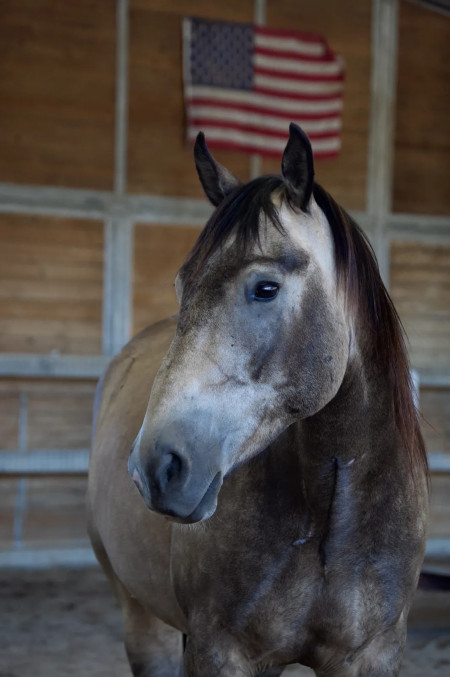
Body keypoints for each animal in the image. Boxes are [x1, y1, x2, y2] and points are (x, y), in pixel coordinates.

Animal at [88, 124, 428, 672]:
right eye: (182, 287)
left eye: (265, 288)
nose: (155, 468)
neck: (330, 518)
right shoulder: (221, 651)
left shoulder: (373, 654)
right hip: (141, 619)